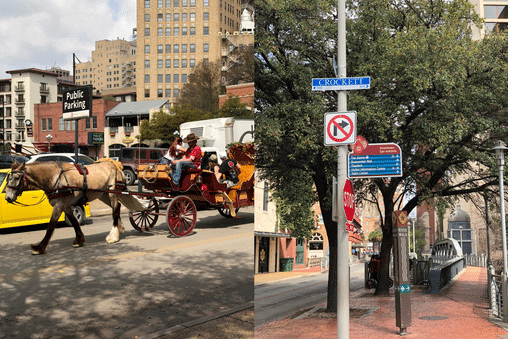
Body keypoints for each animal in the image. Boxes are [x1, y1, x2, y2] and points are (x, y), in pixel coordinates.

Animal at [4, 159, 145, 255]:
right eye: (8, 177)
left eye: (17, 177)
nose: (8, 198)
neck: (55, 178)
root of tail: (115, 165)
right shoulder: (65, 206)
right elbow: (74, 222)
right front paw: (79, 240)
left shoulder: (59, 206)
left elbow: (50, 227)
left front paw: (40, 247)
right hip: (103, 194)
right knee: (118, 207)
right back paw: (120, 229)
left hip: (112, 192)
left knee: (115, 211)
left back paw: (113, 236)